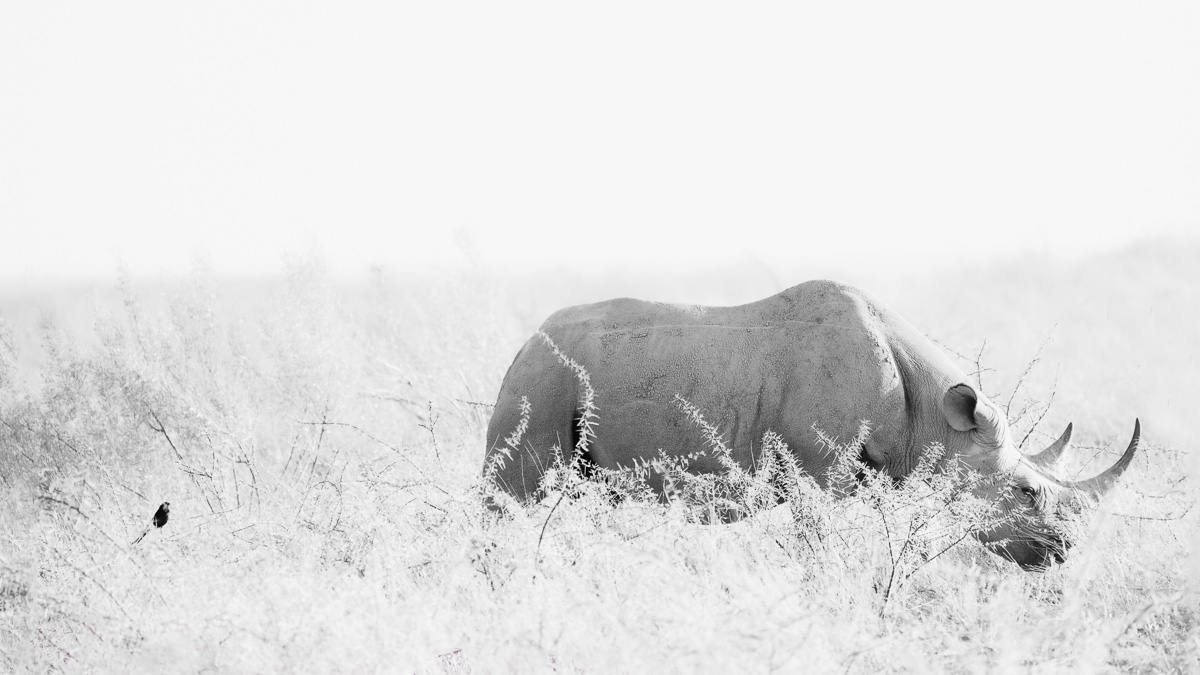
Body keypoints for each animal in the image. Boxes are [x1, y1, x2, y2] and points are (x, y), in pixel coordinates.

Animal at [483, 280, 1140, 570]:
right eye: (1026, 493)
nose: (1061, 554)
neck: (937, 420)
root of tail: (522, 343)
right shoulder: (815, 477)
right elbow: (814, 550)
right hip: (543, 376)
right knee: (512, 494)